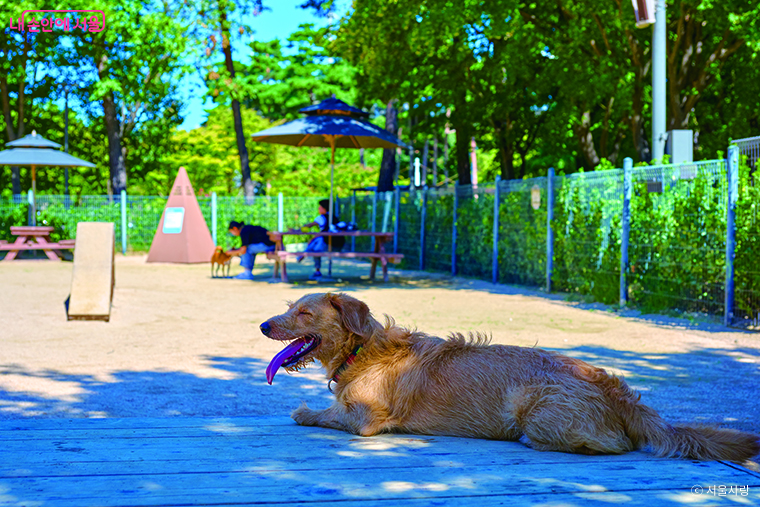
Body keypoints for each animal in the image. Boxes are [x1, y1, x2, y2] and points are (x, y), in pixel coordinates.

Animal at [258, 292, 756, 462]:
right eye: (287, 308)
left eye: (303, 313)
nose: (263, 325)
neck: (364, 349)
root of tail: (615, 389)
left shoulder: (364, 419)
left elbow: (326, 414)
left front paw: (305, 411)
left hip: (534, 406)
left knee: (615, 445)